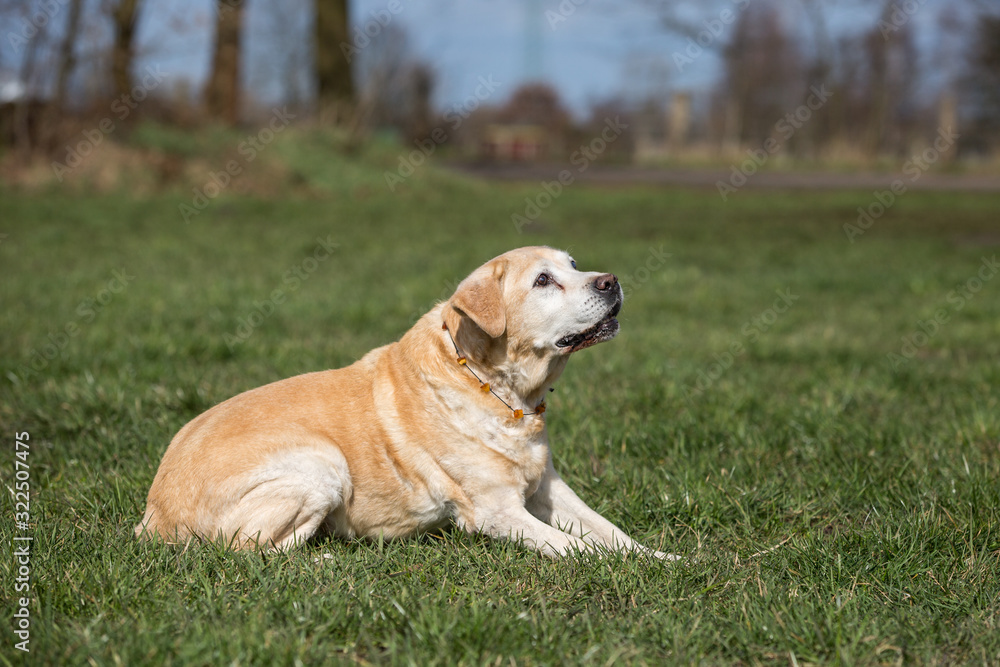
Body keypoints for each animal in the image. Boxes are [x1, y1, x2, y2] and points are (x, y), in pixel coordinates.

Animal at [137, 245, 672, 560]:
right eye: (543, 280)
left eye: (574, 266)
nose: (611, 280)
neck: (503, 394)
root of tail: (152, 517)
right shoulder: (496, 511)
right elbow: (581, 549)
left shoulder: (549, 489)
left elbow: (613, 534)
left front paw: (665, 560)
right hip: (322, 464)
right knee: (249, 551)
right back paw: (324, 557)